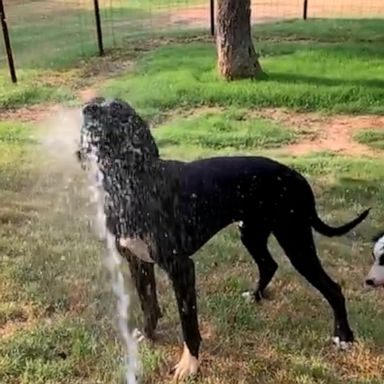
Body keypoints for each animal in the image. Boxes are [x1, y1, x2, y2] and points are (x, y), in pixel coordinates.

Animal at [77, 98, 368, 380]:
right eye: (98, 101)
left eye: (117, 108)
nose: (87, 109)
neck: (132, 183)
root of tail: (297, 176)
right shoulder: (138, 262)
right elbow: (150, 304)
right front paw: (147, 337)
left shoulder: (181, 268)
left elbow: (188, 323)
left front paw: (189, 364)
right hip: (252, 234)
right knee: (269, 264)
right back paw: (256, 295)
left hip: (295, 240)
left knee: (332, 287)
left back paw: (343, 336)